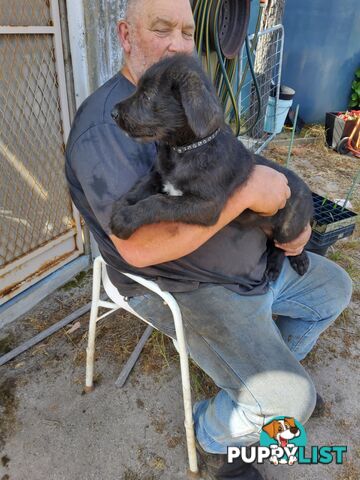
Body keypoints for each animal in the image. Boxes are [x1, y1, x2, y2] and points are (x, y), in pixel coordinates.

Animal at [111, 54, 314, 280]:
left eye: (146, 96)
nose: (113, 113)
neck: (185, 150)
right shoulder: (158, 175)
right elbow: (142, 187)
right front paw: (122, 206)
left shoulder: (207, 205)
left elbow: (159, 202)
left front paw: (126, 219)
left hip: (289, 226)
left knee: (289, 245)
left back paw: (292, 263)